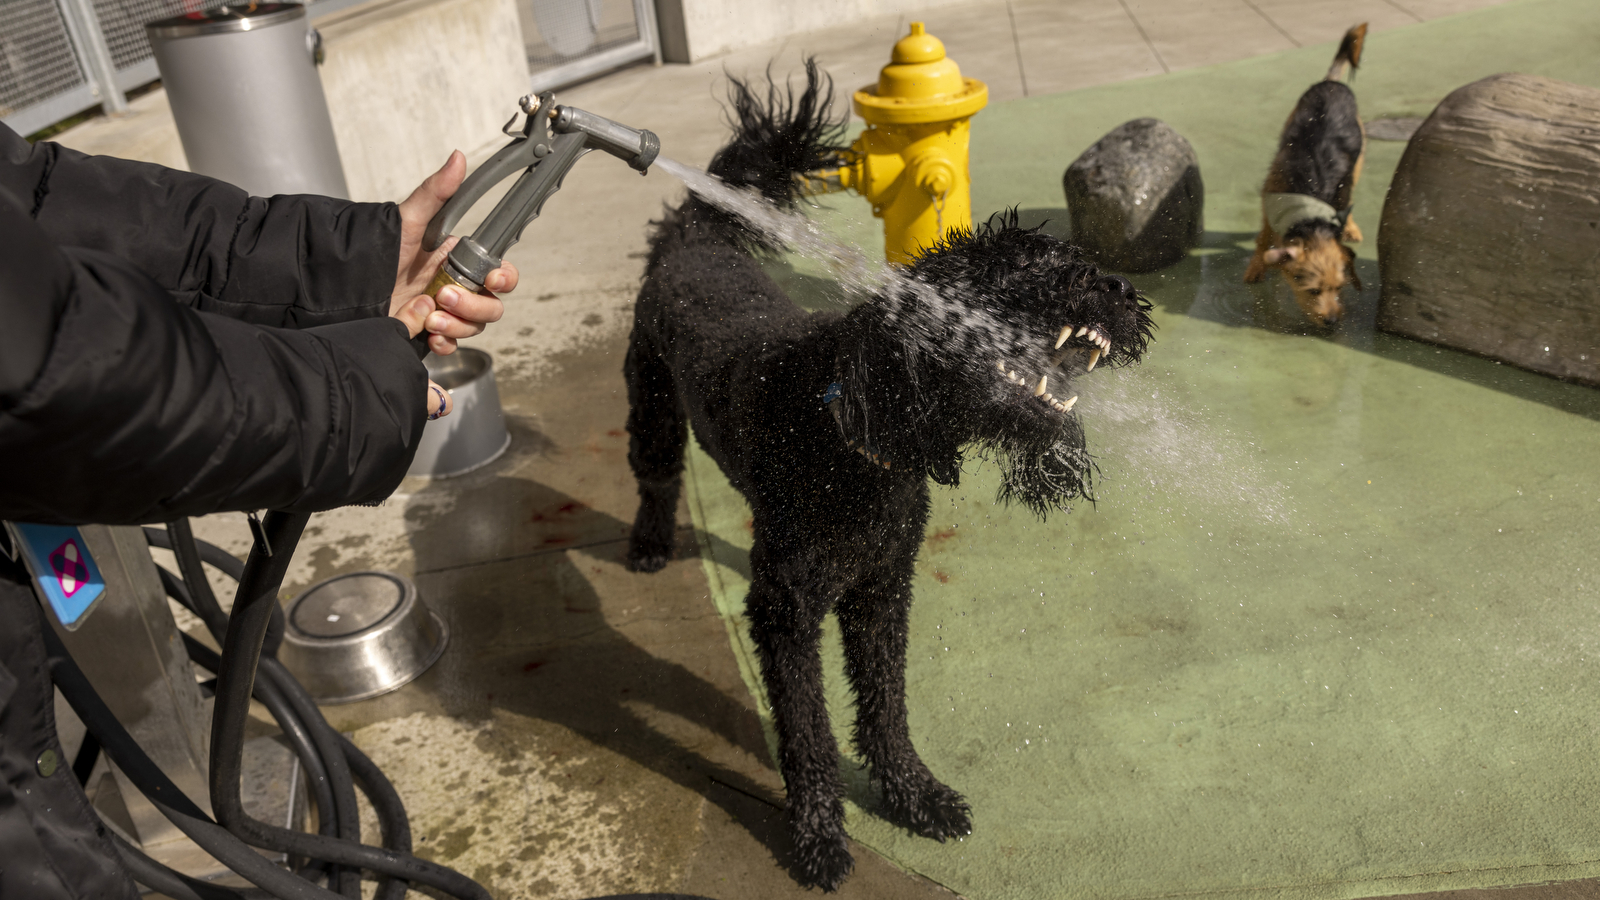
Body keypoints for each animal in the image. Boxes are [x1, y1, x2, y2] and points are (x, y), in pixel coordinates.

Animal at [617, 64, 1158, 890]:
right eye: (1031, 268)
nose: (1126, 297)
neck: (851, 431)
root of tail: (693, 234)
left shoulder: (881, 588)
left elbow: (885, 706)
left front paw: (913, 796)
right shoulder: (784, 614)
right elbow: (808, 733)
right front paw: (817, 837)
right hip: (650, 405)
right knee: (656, 477)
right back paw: (648, 544)